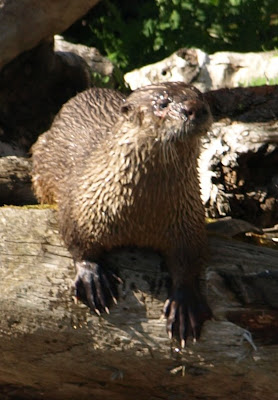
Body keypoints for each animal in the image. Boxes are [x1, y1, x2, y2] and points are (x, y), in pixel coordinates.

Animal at [31, 81, 212, 344]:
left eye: (200, 96)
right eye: (163, 104)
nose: (195, 108)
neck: (141, 215)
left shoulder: (189, 219)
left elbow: (190, 256)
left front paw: (184, 303)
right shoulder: (79, 203)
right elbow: (75, 237)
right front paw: (92, 277)